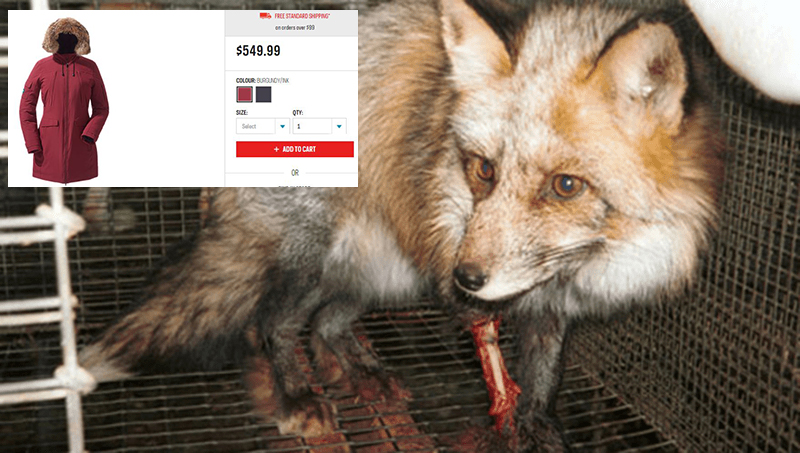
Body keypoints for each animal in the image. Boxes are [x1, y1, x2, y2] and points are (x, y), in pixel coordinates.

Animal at [80, 0, 723, 450]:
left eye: (566, 186)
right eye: (483, 169)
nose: (465, 279)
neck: (583, 263)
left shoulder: (550, 304)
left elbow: (544, 373)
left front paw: (537, 424)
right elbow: (496, 359)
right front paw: (503, 417)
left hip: (387, 272)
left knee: (329, 323)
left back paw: (364, 371)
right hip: (313, 259)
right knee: (273, 325)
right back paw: (296, 396)